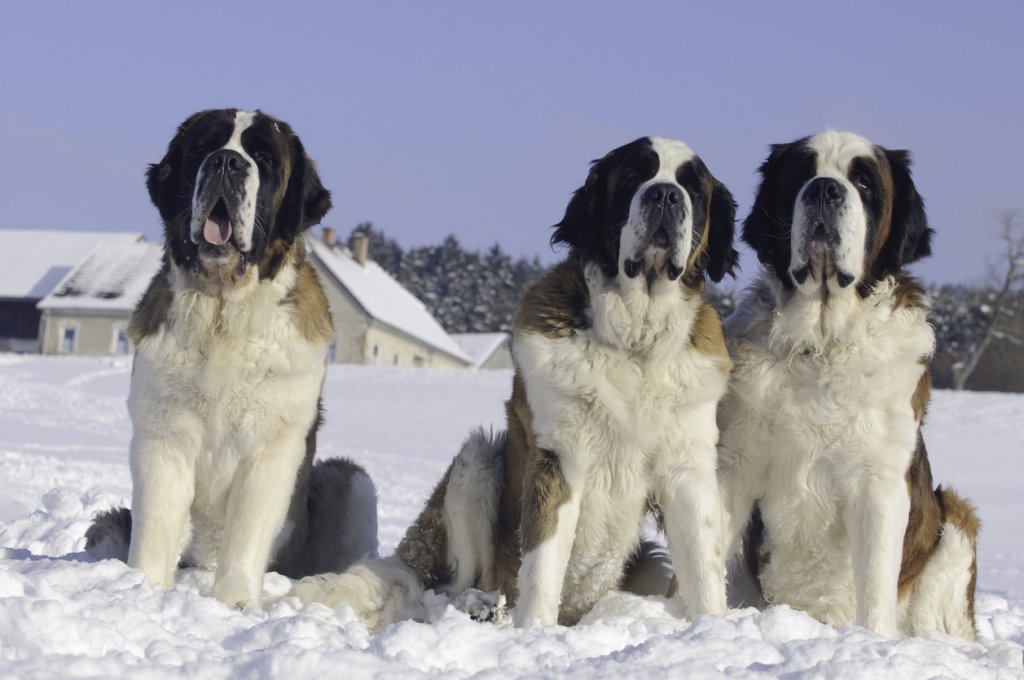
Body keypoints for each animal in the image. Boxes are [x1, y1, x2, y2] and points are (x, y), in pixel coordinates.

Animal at [84, 109, 380, 606]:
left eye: (264, 157)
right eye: (203, 149)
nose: (226, 162)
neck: (223, 312)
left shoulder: (271, 449)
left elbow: (247, 528)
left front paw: (233, 603)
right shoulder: (163, 435)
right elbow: (155, 524)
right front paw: (143, 591)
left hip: (351, 480)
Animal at [292, 137, 741, 630]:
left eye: (692, 189)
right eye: (634, 177)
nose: (664, 195)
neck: (634, 339)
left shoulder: (688, 469)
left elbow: (703, 566)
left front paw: (713, 627)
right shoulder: (558, 459)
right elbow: (544, 561)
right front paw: (536, 631)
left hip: (646, 563)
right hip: (477, 461)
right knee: (444, 586)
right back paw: (482, 609)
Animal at [716, 130, 978, 639]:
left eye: (864, 182)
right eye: (802, 174)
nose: (824, 190)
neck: (823, 343)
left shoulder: (879, 482)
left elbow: (875, 580)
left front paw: (874, 642)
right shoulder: (734, 464)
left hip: (956, 520)